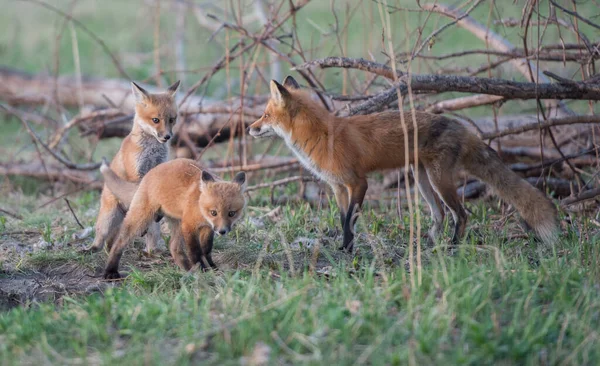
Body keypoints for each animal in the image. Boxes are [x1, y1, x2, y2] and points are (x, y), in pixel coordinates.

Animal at [83, 81, 179, 254]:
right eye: (155, 120)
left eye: (172, 119)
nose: (167, 136)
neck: (151, 151)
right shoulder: (136, 174)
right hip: (107, 219)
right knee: (101, 239)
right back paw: (92, 248)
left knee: (146, 239)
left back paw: (152, 252)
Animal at [99, 158, 247, 280]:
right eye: (214, 212)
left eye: (231, 213)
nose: (222, 231)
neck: (199, 205)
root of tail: (147, 175)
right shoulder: (189, 226)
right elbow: (195, 251)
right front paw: (201, 268)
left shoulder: (207, 228)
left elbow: (206, 250)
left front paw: (210, 266)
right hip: (142, 219)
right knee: (119, 242)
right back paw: (110, 271)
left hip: (177, 223)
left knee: (173, 247)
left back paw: (187, 269)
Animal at [246, 76, 560, 250]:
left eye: (264, 115)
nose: (249, 128)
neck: (322, 135)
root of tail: (460, 126)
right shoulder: (338, 188)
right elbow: (342, 218)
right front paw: (344, 247)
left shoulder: (358, 183)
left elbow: (349, 222)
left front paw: (346, 251)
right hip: (421, 179)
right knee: (439, 215)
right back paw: (431, 244)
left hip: (439, 180)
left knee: (461, 214)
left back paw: (453, 246)